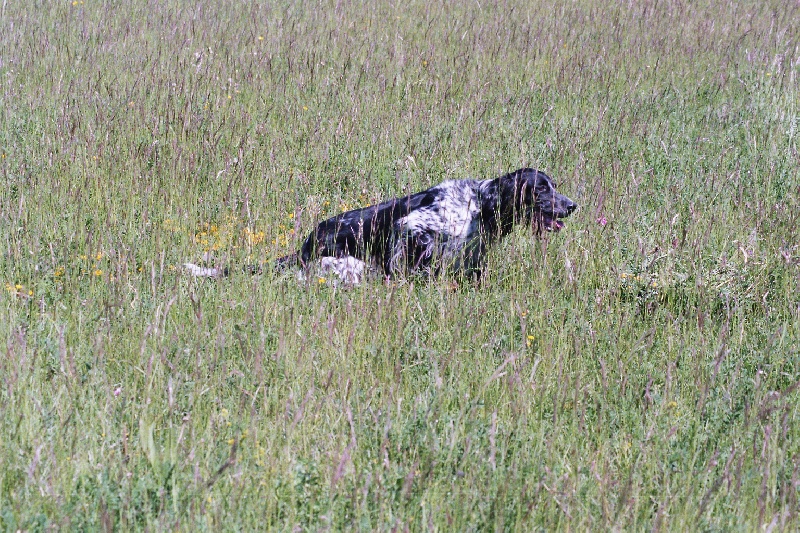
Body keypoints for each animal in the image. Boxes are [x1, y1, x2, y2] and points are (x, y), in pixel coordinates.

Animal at [185, 168, 580, 284]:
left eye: (555, 185)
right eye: (542, 189)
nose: (573, 205)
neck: (479, 205)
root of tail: (303, 248)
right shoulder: (411, 227)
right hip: (351, 265)